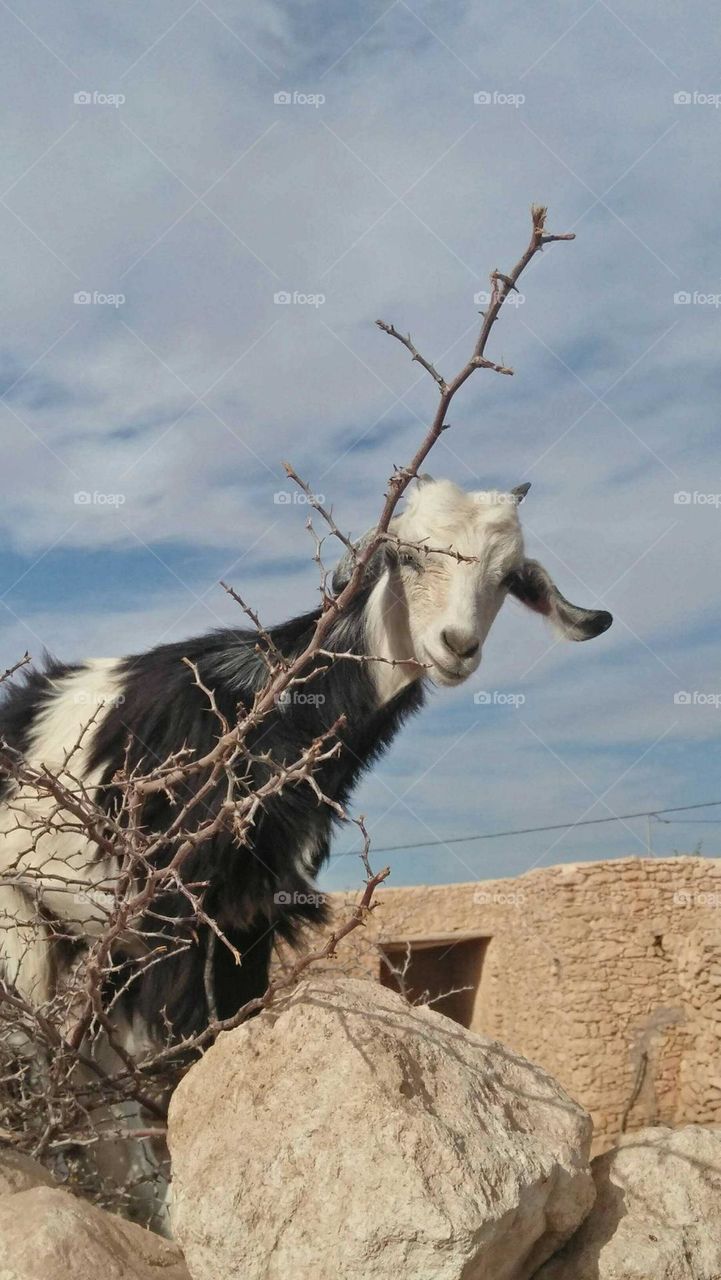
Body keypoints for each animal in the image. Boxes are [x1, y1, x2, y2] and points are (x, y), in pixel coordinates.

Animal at [0, 476, 614, 1044]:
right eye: (407, 554)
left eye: (508, 580)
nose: (457, 646)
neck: (275, 708)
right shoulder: (171, 914)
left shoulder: (250, 917)